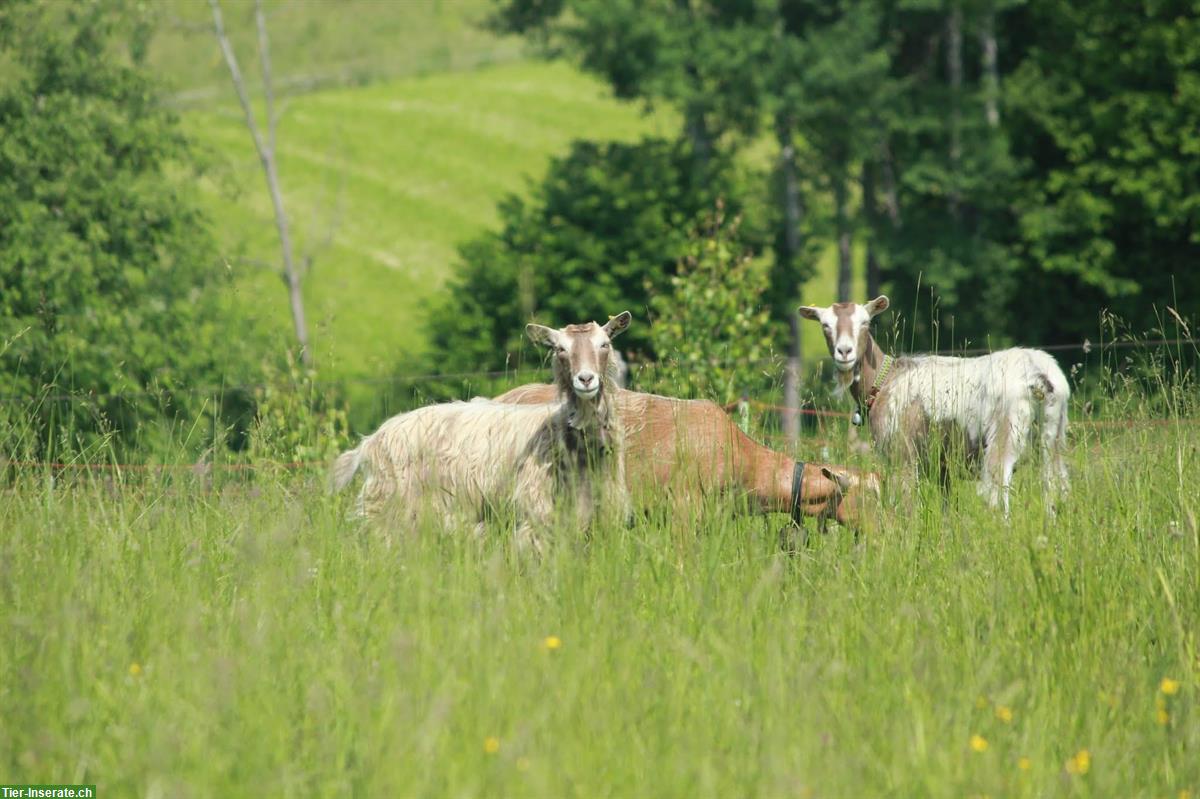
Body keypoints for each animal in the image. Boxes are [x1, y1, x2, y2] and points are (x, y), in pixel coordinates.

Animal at [328, 309, 628, 547]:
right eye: (560, 349)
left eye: (605, 344)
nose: (585, 379)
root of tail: (369, 442)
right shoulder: (536, 515)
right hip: (389, 507)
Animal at [796, 295, 1070, 513]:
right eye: (825, 325)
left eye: (865, 323)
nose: (844, 352)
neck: (885, 380)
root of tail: (1038, 375)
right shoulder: (943, 468)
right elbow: (948, 507)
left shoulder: (902, 456)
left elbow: (906, 506)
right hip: (1053, 434)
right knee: (1055, 488)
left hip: (1004, 433)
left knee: (997, 495)